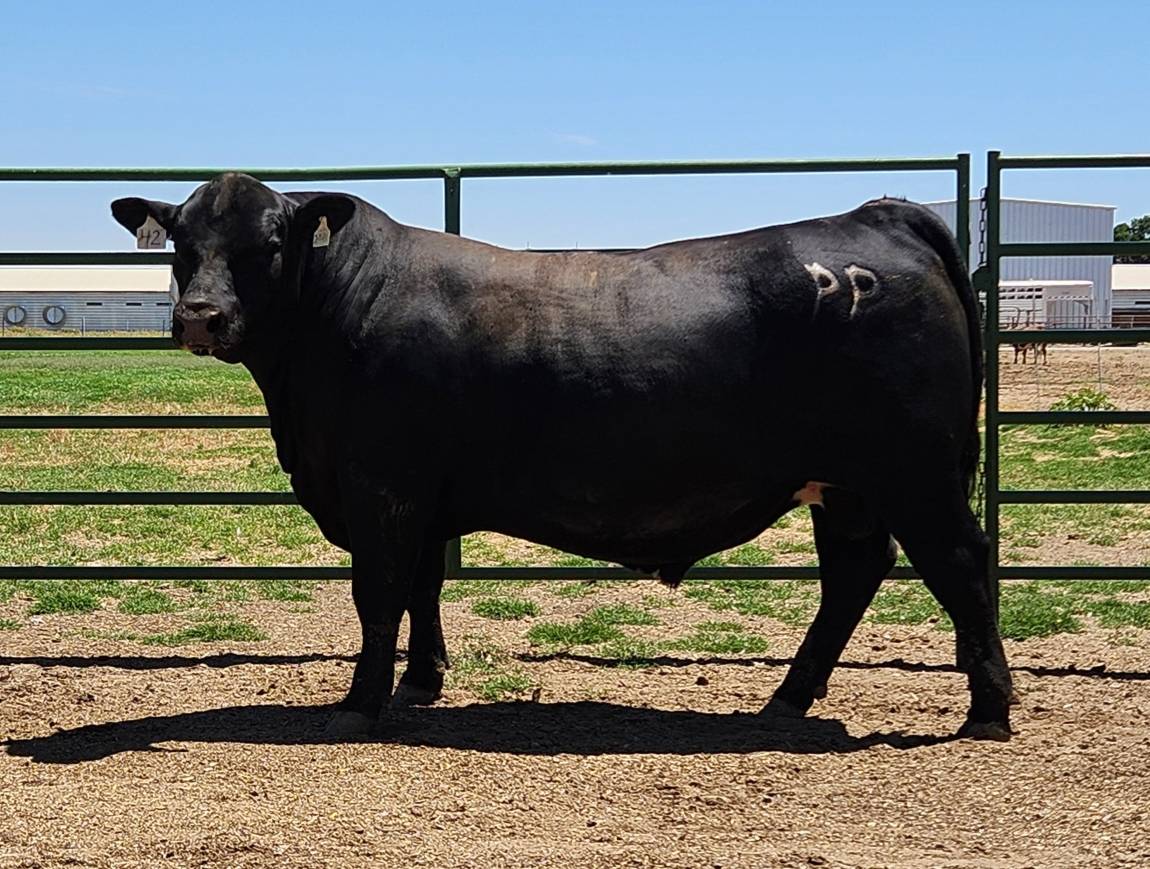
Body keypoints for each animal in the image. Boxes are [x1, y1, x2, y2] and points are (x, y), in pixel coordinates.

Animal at [111, 174, 1013, 741]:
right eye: (179, 241)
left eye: (268, 242)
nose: (199, 316)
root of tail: (876, 216)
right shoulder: (423, 493)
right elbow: (423, 588)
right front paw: (422, 682)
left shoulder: (381, 487)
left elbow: (378, 596)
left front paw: (359, 706)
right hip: (848, 483)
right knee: (854, 572)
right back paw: (788, 697)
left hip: (918, 472)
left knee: (962, 563)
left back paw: (988, 710)